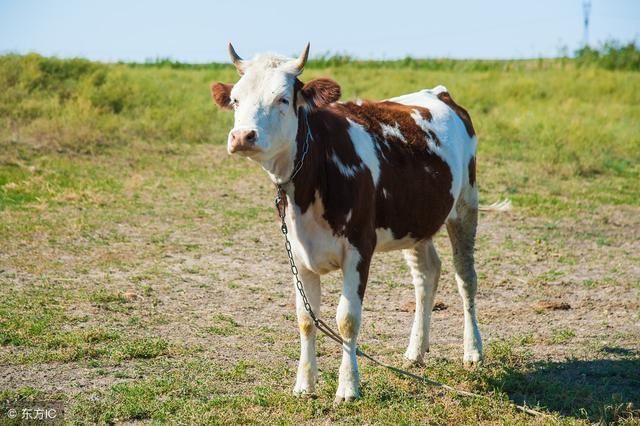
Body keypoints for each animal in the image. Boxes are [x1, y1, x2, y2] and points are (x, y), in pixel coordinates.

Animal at [212, 43, 482, 402]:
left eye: (282, 98)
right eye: (236, 99)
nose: (242, 136)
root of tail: (438, 93)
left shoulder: (359, 248)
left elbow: (347, 319)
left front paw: (348, 387)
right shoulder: (298, 253)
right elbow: (306, 318)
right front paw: (304, 385)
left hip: (466, 204)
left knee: (465, 277)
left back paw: (473, 351)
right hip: (414, 220)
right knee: (426, 275)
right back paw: (416, 351)